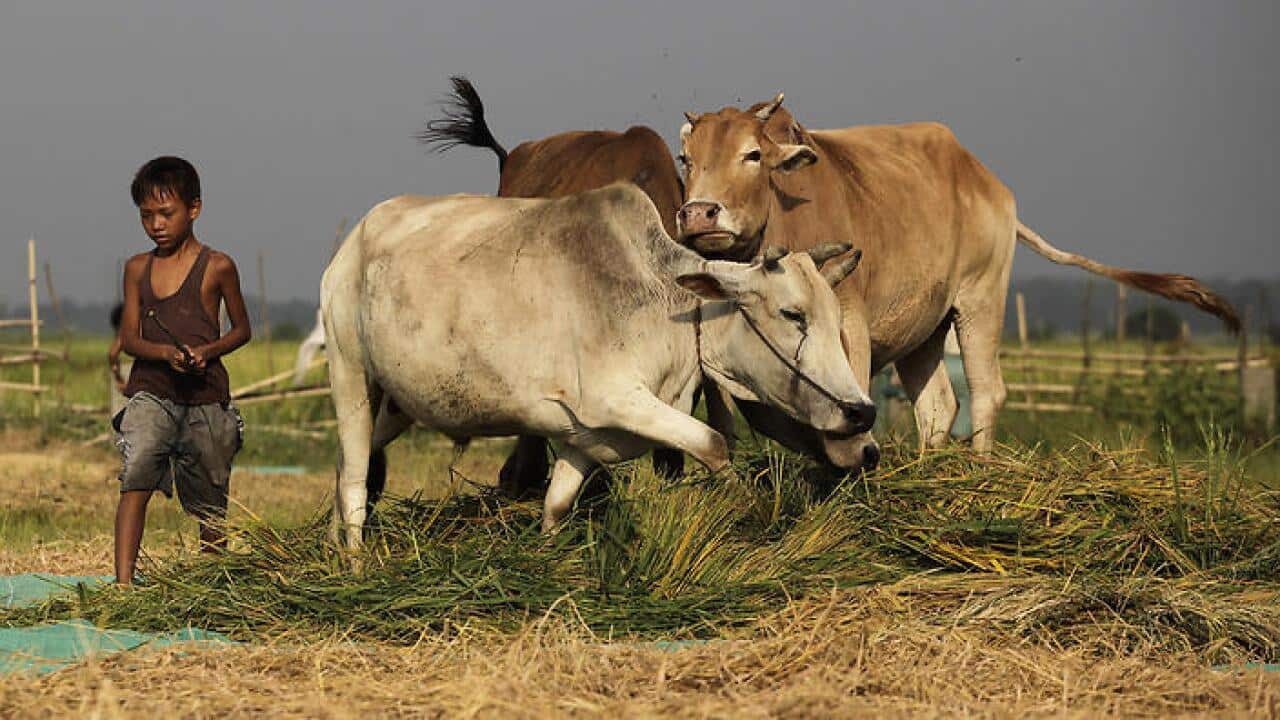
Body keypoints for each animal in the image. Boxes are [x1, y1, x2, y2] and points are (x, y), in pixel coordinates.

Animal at [320, 183, 873, 547]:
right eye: (793, 315)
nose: (862, 413)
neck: (673, 307)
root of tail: (351, 242)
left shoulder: (582, 434)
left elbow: (556, 504)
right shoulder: (618, 399)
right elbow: (713, 443)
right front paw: (752, 509)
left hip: (394, 403)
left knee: (351, 460)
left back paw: (331, 546)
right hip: (349, 372)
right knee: (354, 477)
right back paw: (355, 562)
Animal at [675, 94, 1240, 469]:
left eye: (752, 155)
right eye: (687, 158)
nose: (699, 212)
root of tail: (986, 181)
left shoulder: (849, 324)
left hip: (980, 303)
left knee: (987, 392)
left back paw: (982, 470)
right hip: (926, 329)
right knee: (938, 407)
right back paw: (927, 469)